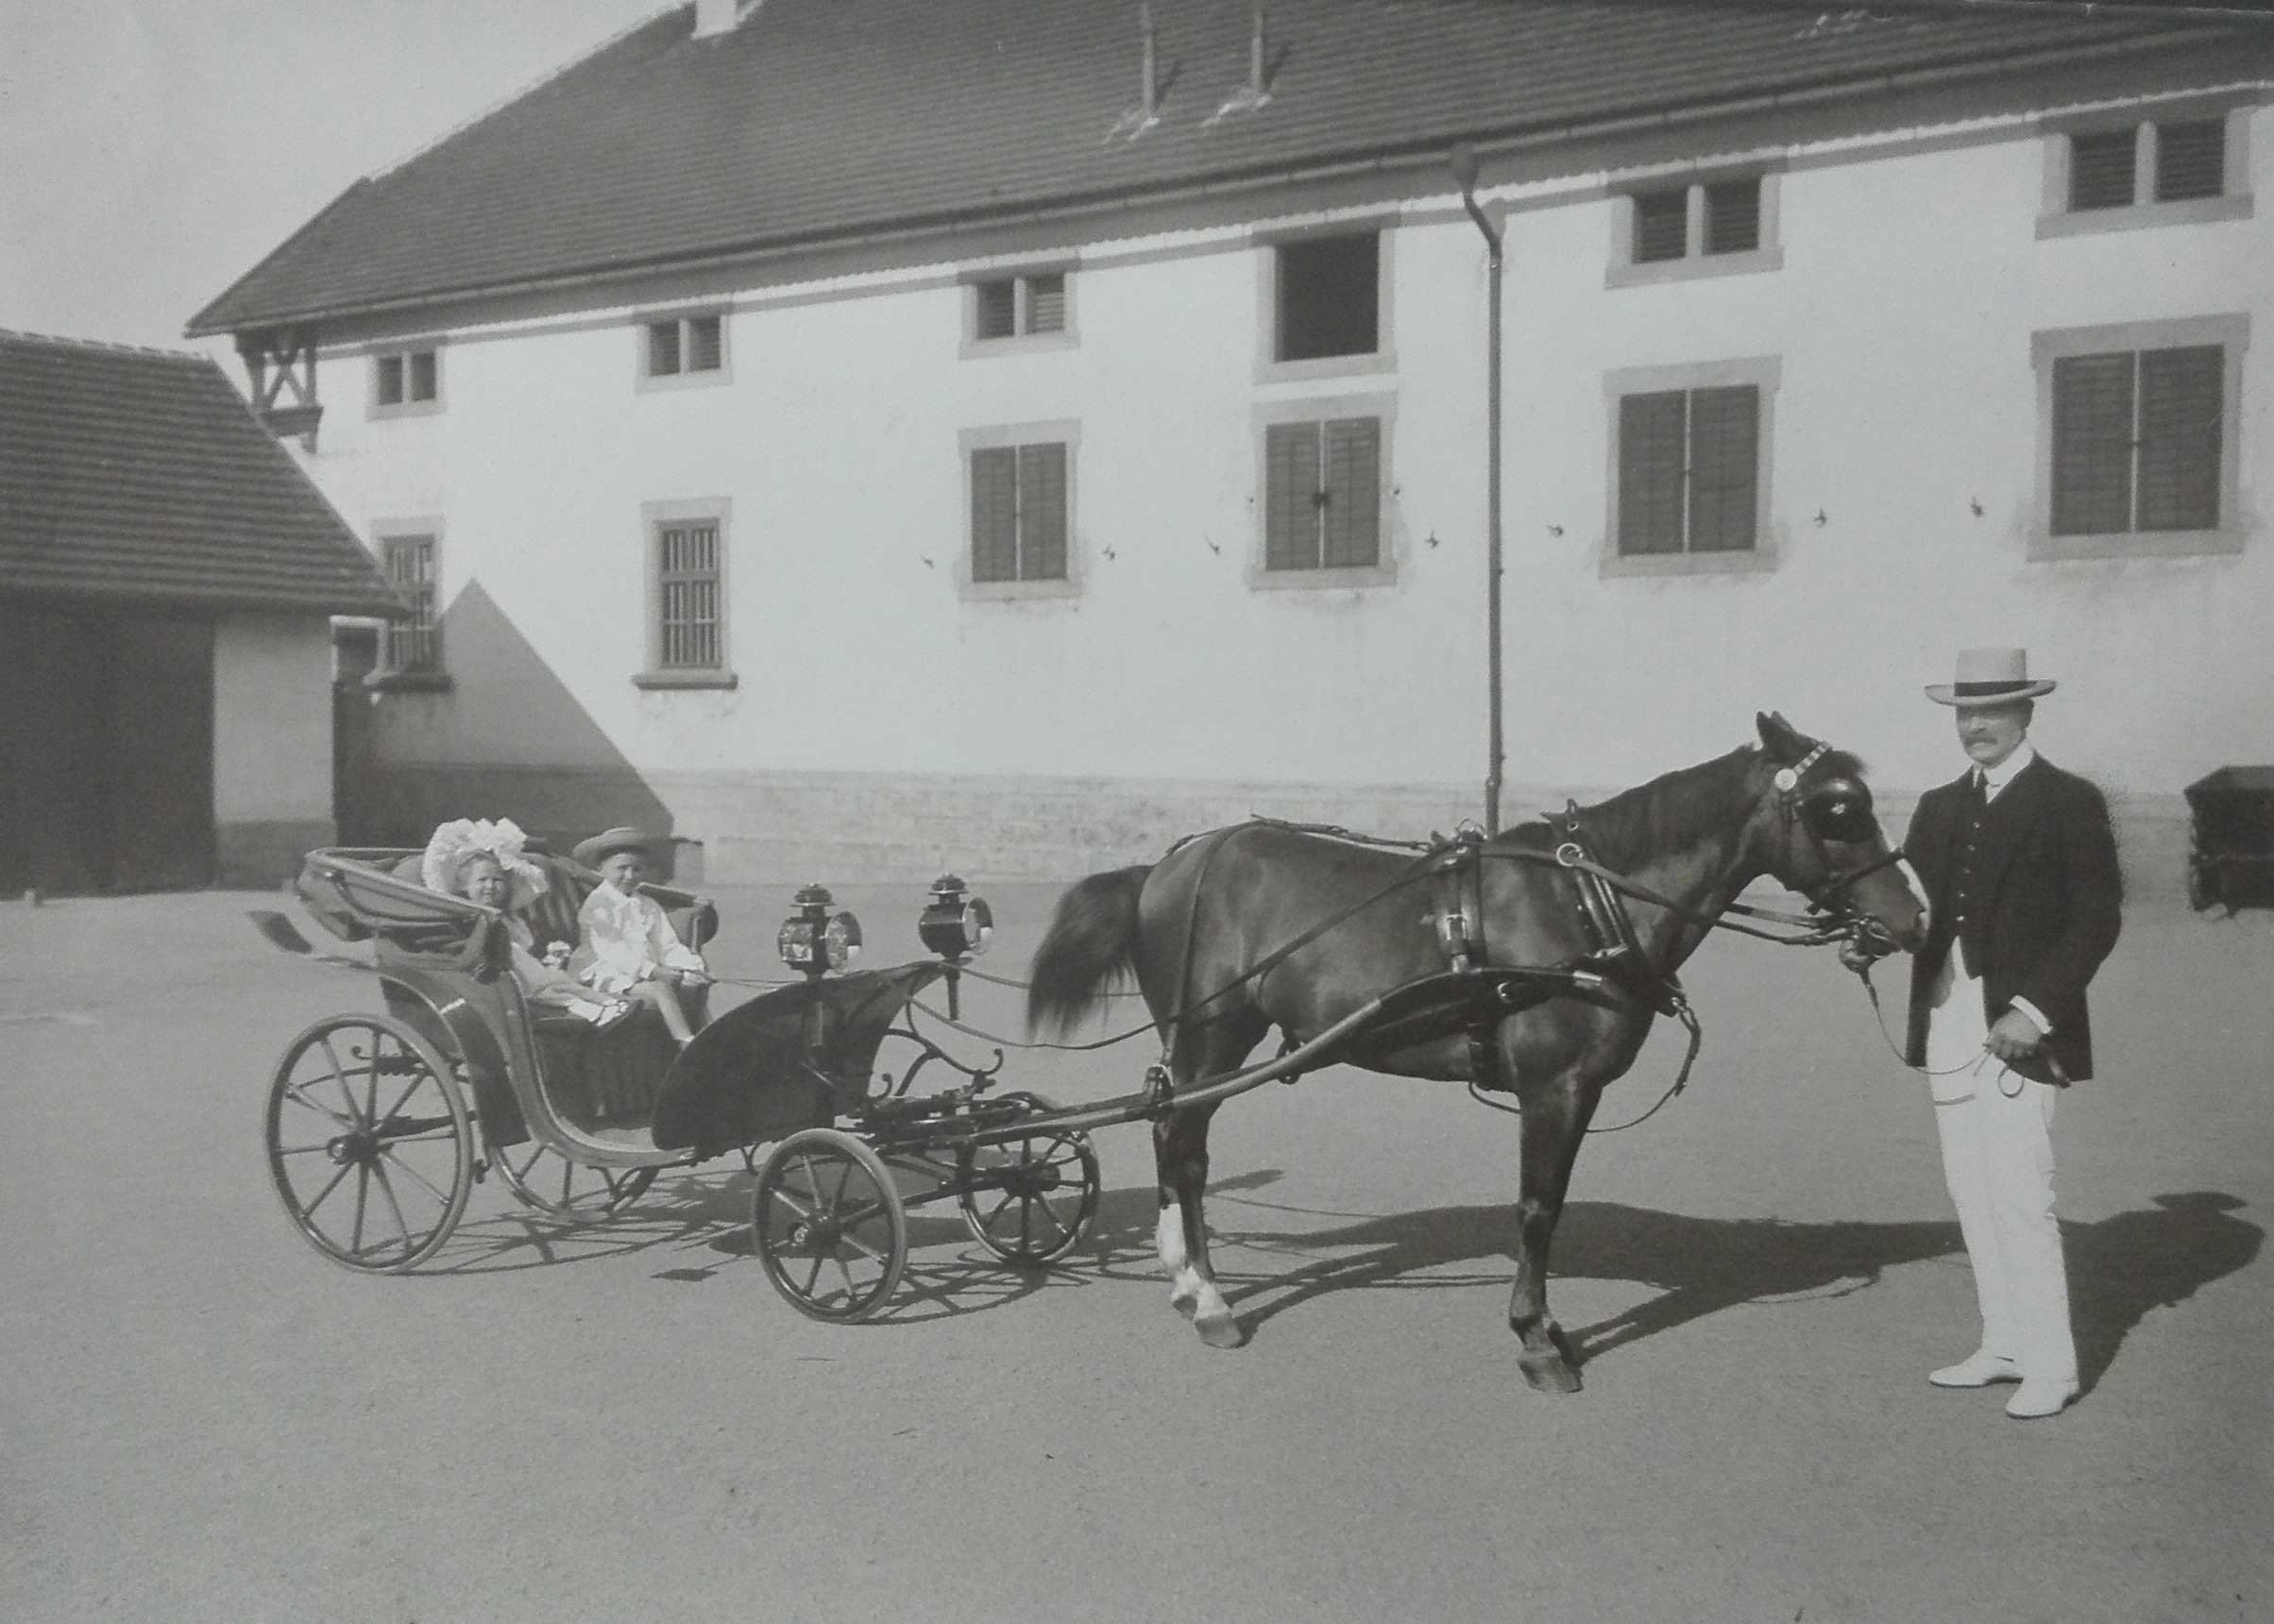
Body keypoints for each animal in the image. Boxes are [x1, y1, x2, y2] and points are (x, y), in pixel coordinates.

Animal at [1037, 714, 1937, 1382]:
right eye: (1836, 812)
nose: (1914, 917)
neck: (1587, 905)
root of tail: (1166, 867)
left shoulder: (1575, 1090)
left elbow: (1550, 1205)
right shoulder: (1556, 1086)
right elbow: (1538, 1208)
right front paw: (1537, 1337)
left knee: (1180, 1140)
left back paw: (1194, 1283)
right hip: (1211, 1037)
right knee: (1179, 1142)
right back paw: (1205, 1294)